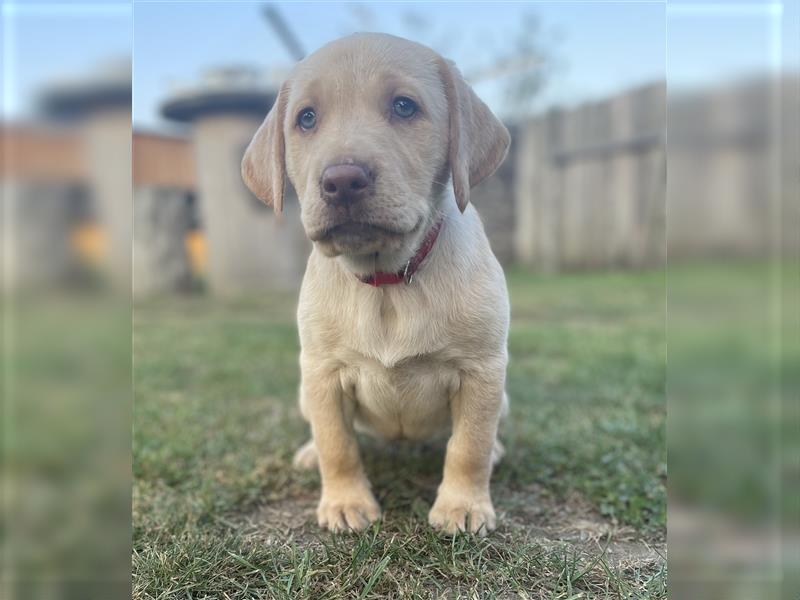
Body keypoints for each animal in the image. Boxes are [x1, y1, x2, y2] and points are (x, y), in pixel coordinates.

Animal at [241, 31, 510, 536]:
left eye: (404, 107)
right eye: (306, 118)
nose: (342, 180)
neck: (388, 281)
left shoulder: (482, 371)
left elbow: (469, 446)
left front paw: (463, 506)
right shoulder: (322, 374)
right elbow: (337, 444)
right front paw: (346, 502)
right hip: (304, 391)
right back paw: (309, 455)